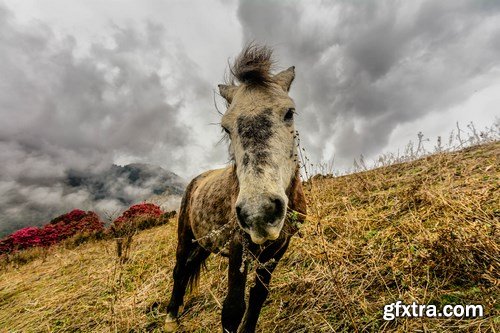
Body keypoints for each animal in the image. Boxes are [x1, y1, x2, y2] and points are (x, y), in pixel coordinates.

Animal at [165, 44, 304, 332]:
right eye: (225, 127)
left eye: (289, 113)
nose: (259, 212)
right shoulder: (238, 244)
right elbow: (232, 309)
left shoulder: (279, 246)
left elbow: (259, 295)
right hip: (185, 235)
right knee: (180, 268)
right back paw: (171, 316)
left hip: (205, 243)